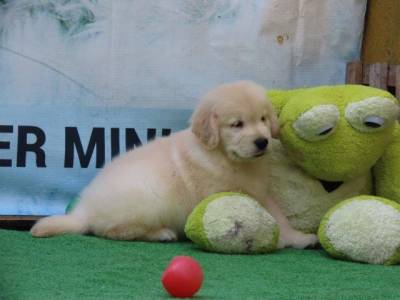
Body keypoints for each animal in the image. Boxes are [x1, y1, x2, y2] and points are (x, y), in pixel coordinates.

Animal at [31, 80, 318, 248]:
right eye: (237, 124)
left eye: (263, 118)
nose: (262, 141)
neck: (224, 156)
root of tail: (85, 209)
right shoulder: (229, 192)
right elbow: (268, 218)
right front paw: (285, 240)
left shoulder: (261, 192)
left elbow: (279, 216)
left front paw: (299, 237)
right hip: (147, 200)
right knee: (112, 231)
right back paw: (161, 234)